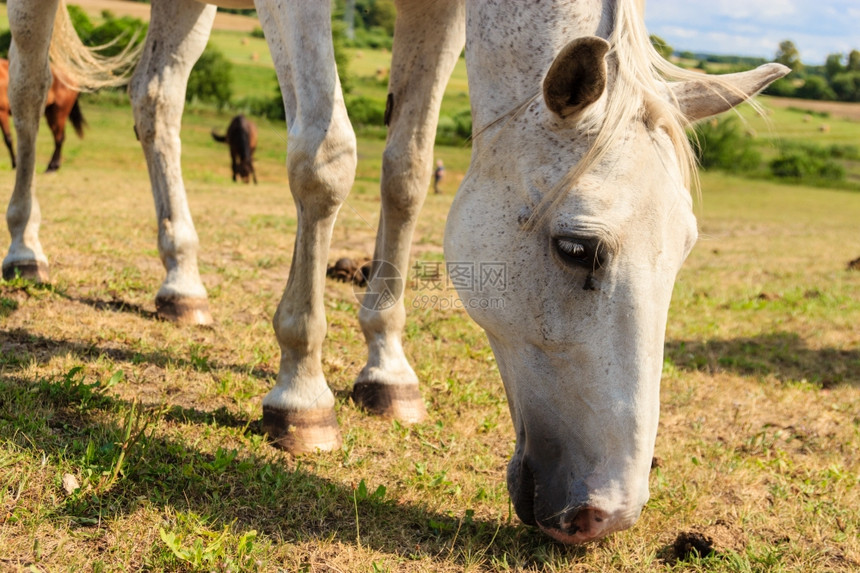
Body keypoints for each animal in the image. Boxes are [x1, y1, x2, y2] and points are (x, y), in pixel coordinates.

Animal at [5, 0, 788, 544]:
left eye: (684, 249)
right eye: (576, 249)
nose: (607, 514)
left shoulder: (436, 12)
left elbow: (407, 168)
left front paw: (387, 371)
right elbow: (325, 158)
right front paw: (302, 394)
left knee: (156, 98)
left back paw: (182, 285)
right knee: (31, 88)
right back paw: (25, 250)